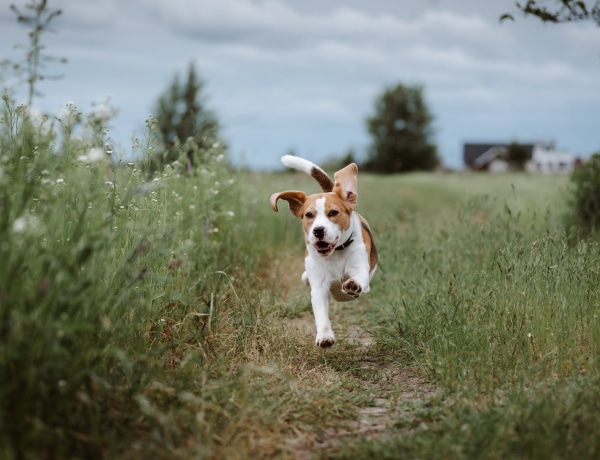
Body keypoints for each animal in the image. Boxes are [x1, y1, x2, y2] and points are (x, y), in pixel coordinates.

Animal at [270, 156, 378, 346]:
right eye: (309, 215)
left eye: (333, 212)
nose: (318, 230)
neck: (336, 253)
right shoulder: (319, 287)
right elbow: (320, 313)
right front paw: (325, 336)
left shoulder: (360, 268)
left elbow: (358, 278)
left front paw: (353, 284)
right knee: (306, 278)